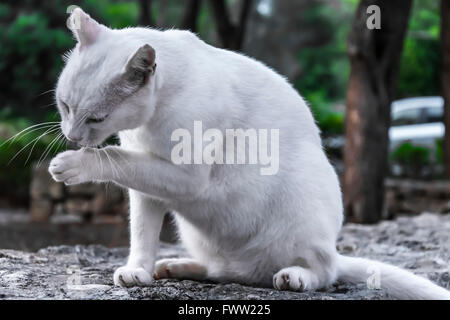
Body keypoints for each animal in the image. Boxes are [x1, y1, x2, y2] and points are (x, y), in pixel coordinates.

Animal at [49, 10, 450, 300]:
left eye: (96, 118)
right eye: (65, 105)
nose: (70, 136)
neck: (149, 120)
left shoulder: (185, 177)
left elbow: (114, 158)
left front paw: (72, 164)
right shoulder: (147, 191)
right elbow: (142, 233)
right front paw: (140, 271)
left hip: (306, 212)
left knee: (324, 271)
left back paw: (295, 276)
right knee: (223, 271)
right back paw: (177, 266)